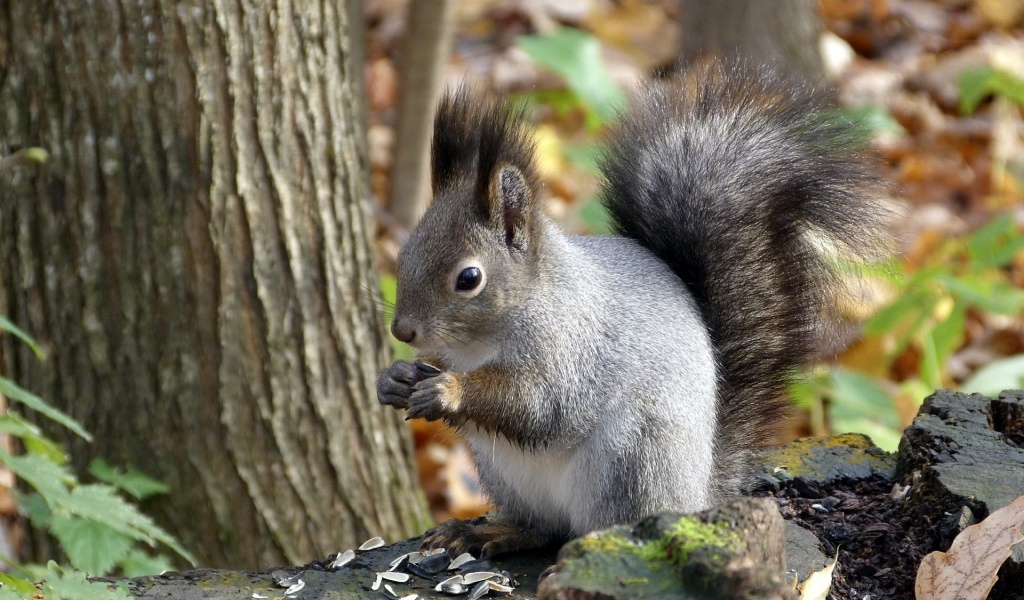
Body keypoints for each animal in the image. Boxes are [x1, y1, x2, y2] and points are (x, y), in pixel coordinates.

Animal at [376, 60, 888, 556]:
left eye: (469, 279)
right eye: (405, 253)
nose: (402, 331)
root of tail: (696, 493)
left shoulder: (572, 348)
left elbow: (541, 405)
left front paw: (449, 390)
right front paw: (396, 378)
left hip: (631, 459)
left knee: (601, 528)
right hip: (506, 474)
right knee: (543, 528)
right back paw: (493, 533)